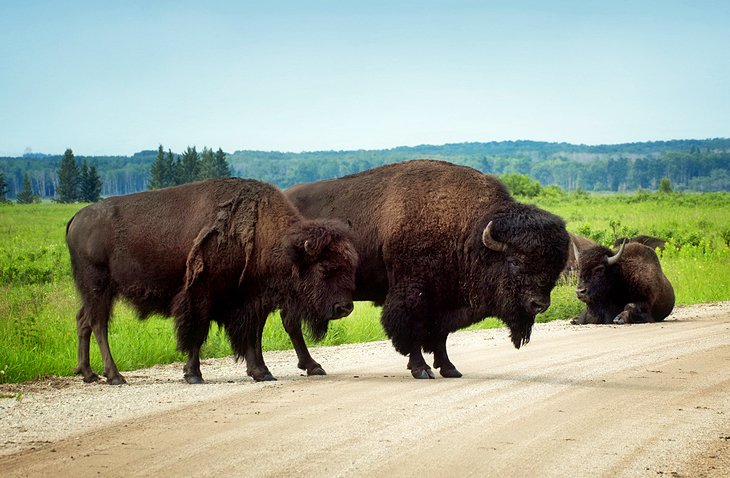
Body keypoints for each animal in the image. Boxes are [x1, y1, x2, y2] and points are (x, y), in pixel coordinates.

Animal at [65, 179, 356, 384]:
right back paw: (114, 376)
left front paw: (261, 372)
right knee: (99, 324)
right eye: (324, 269)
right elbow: (197, 333)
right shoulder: (202, 296)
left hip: (92, 292)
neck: (263, 234)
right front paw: (193, 375)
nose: (344, 307)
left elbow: (252, 335)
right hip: (99, 287)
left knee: (83, 320)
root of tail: (77, 218)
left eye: (350, 266)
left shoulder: (250, 300)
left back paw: (88, 374)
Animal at [284, 161, 568, 380]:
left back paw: (311, 366)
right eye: (515, 262)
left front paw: (449, 368)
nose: (539, 304)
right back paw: (314, 367)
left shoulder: (443, 301)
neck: (467, 232)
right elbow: (413, 330)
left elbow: (439, 335)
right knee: (292, 324)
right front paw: (421, 369)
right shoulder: (413, 294)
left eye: (555, 267)